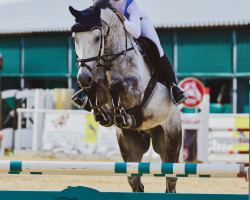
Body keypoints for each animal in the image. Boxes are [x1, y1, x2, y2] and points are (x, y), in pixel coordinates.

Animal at [69, 0, 183, 193]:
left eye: (97, 38)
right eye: (74, 38)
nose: (82, 77)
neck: (108, 59)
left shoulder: (137, 91)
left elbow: (116, 86)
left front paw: (121, 116)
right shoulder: (98, 88)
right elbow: (93, 91)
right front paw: (105, 116)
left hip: (170, 141)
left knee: (171, 179)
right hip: (130, 143)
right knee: (135, 180)